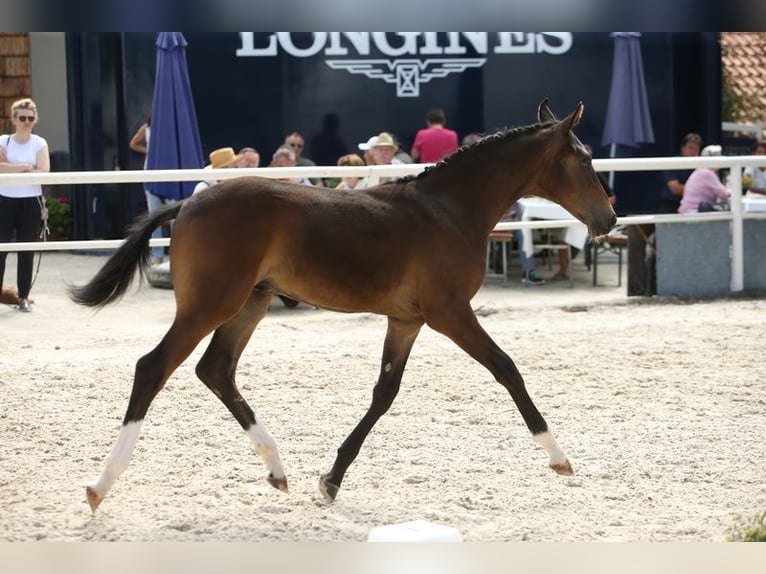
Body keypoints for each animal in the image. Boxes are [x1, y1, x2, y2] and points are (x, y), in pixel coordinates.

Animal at [70, 99, 616, 512]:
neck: (448, 209)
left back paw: (277, 469)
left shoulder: (407, 319)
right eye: (584, 160)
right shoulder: (450, 313)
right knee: (154, 366)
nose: (609, 219)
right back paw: (101, 485)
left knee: (216, 369)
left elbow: (384, 393)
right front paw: (559, 457)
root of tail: (188, 203)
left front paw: (331, 479)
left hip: (250, 303)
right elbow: (507, 369)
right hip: (211, 304)